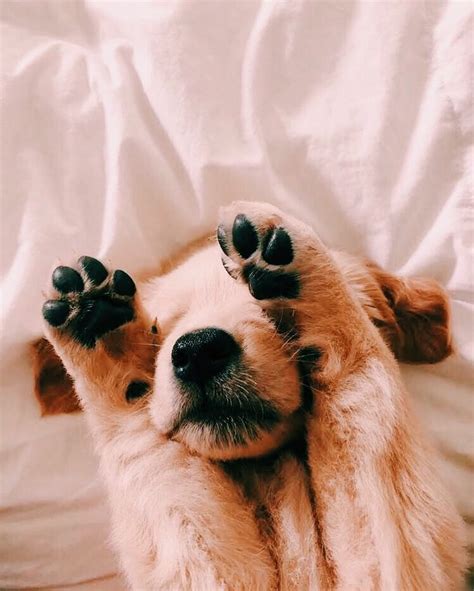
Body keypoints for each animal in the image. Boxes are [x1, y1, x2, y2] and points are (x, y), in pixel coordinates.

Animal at [38, 202, 466, 588]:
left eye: (275, 320)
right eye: (158, 330)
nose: (198, 351)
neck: (265, 477)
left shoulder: (397, 560)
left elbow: (359, 360)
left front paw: (303, 265)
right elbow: (142, 442)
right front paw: (102, 333)